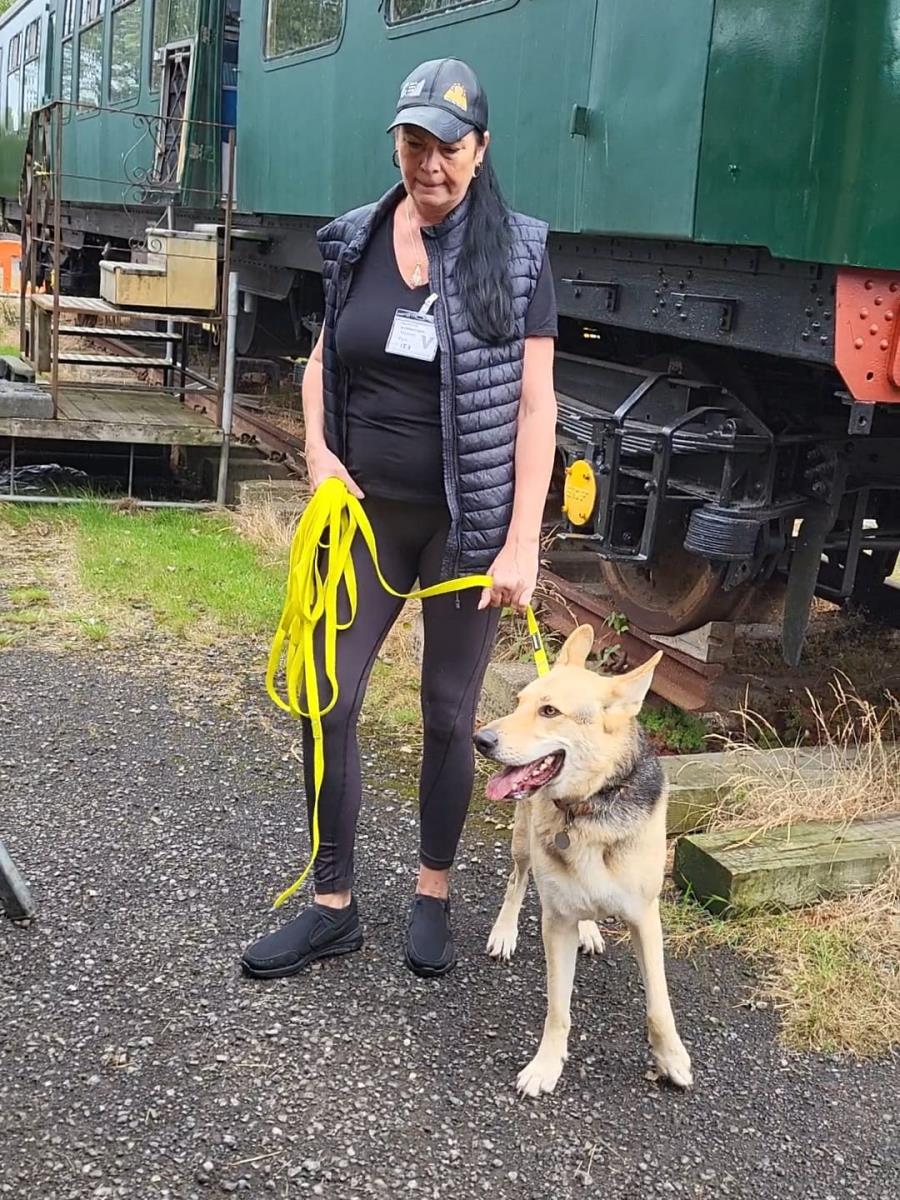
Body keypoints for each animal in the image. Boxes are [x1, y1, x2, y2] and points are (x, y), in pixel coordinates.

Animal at [475, 628, 696, 1099]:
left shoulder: (645, 917)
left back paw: (590, 928)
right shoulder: (555, 922)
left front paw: (670, 1059)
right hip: (523, 845)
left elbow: (659, 1002)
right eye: (519, 702)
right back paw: (505, 932)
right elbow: (558, 1010)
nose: (480, 740)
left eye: (549, 711)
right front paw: (546, 1066)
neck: (589, 807)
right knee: (516, 882)